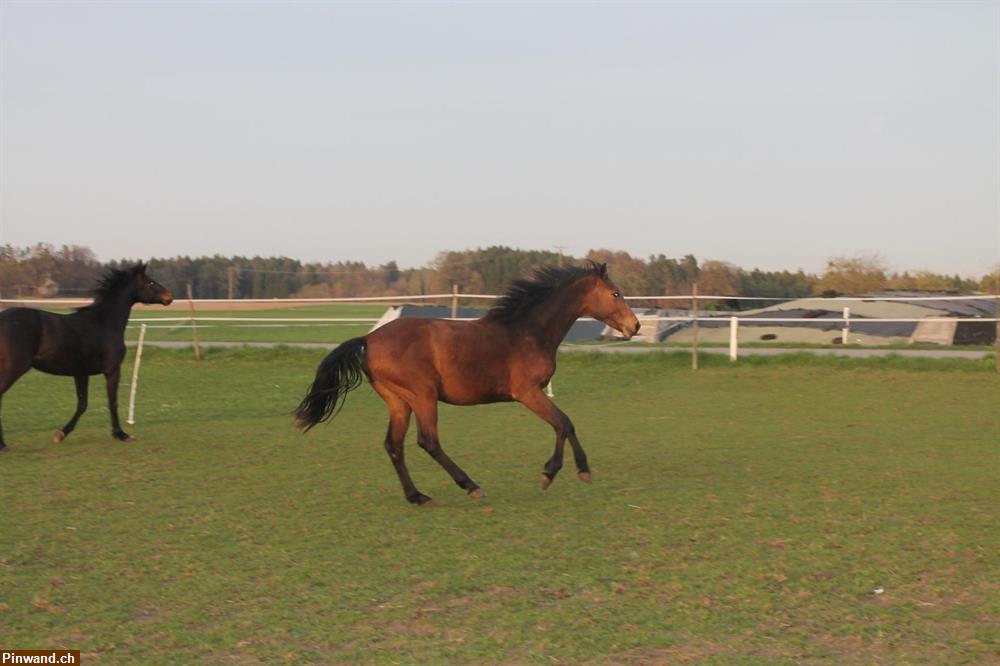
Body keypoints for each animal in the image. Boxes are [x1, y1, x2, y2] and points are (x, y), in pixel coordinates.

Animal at [0, 262, 174, 448]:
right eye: (151, 282)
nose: (169, 297)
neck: (104, 323)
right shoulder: (112, 370)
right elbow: (112, 402)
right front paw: (121, 434)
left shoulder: (81, 373)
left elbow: (82, 404)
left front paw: (61, 434)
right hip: (14, 368)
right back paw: (2, 444)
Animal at [294, 260, 640, 504]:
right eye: (616, 293)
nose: (634, 326)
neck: (528, 332)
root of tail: (368, 339)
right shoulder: (528, 393)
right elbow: (564, 423)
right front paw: (563, 472)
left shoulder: (533, 394)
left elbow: (565, 424)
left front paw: (566, 471)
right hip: (423, 395)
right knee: (428, 441)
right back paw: (471, 486)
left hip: (398, 401)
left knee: (394, 445)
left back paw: (417, 496)